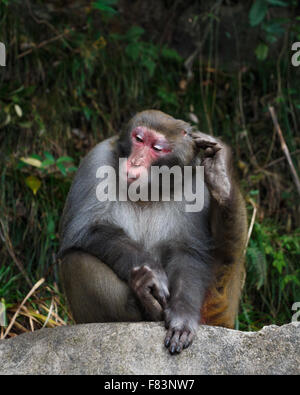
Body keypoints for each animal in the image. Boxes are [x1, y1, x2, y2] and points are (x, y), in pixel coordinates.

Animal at [57, 110, 247, 356]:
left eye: (157, 148)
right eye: (139, 139)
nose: (135, 161)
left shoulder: (195, 182)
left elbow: (188, 251)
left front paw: (182, 315)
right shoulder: (95, 160)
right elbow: (83, 230)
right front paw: (153, 276)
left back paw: (221, 180)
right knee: (76, 259)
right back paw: (146, 301)